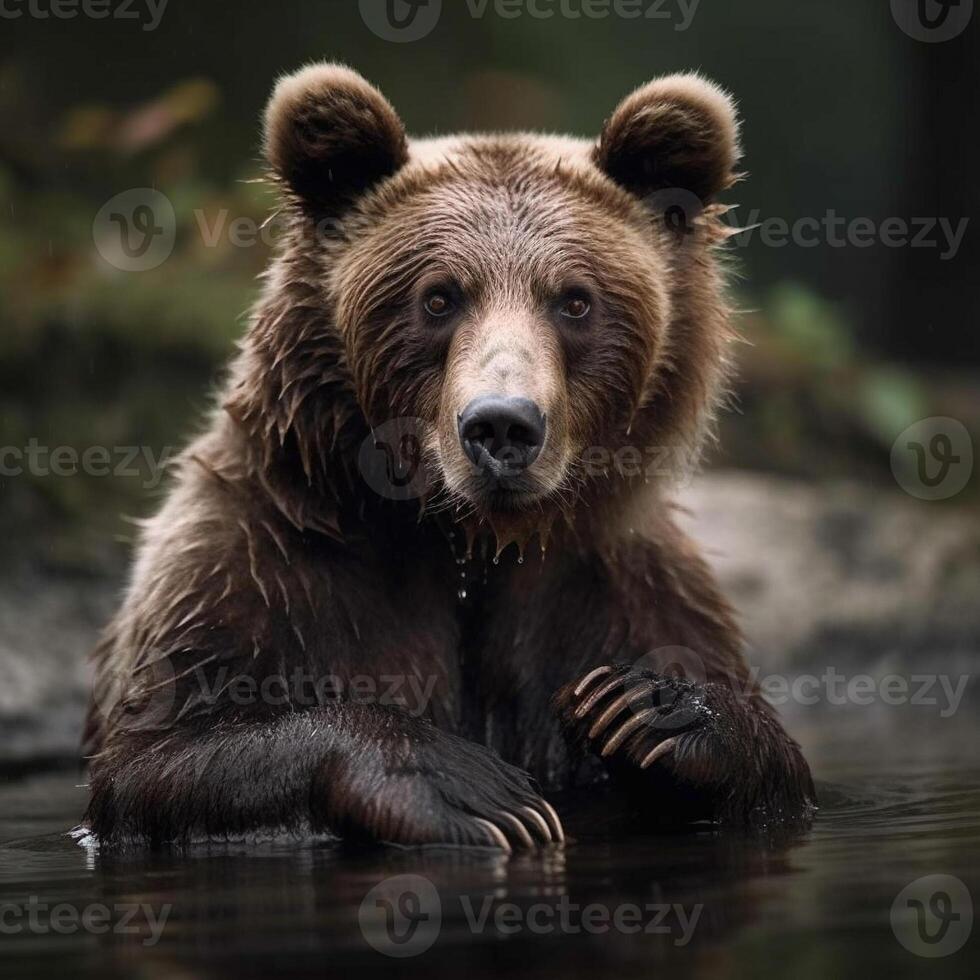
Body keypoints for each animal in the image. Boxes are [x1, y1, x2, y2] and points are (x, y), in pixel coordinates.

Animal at [84, 63, 816, 848]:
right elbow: (159, 753)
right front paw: (475, 789)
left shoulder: (620, 585)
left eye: (575, 300)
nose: (502, 425)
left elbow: (771, 768)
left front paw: (649, 708)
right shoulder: (255, 563)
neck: (468, 541)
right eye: (438, 297)